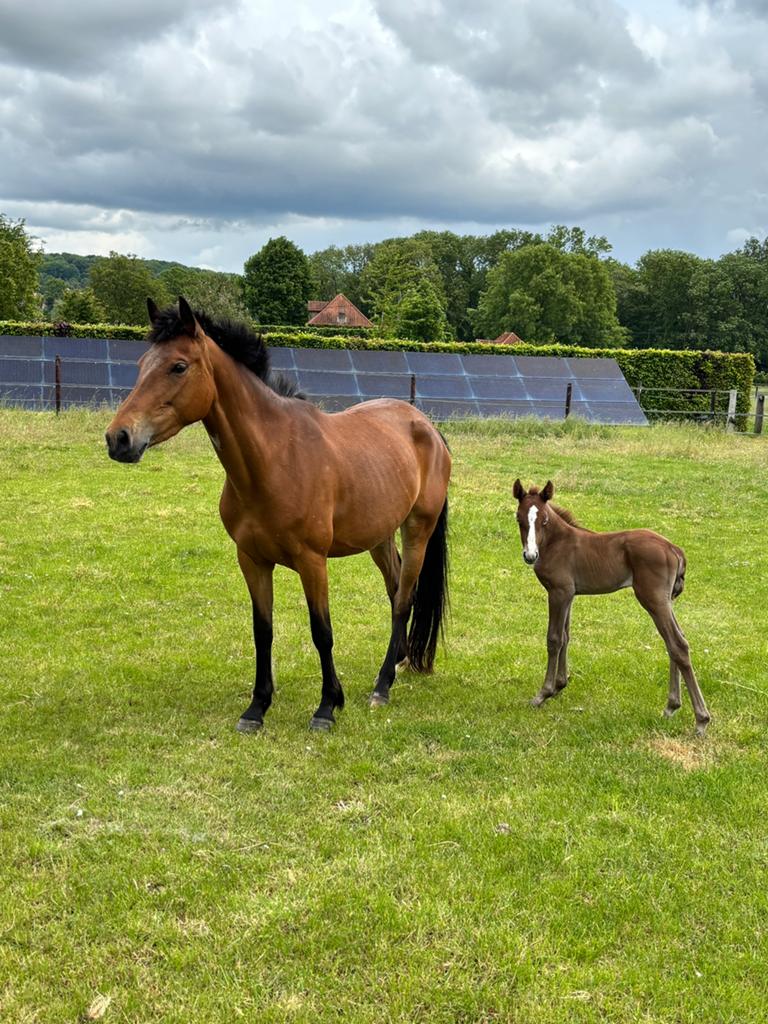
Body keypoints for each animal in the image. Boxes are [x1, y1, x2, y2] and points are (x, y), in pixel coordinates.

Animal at [105, 298, 451, 732]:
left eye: (178, 366)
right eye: (141, 364)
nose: (118, 438)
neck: (274, 459)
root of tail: (426, 427)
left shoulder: (312, 561)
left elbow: (322, 631)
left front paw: (327, 707)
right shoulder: (252, 560)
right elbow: (262, 631)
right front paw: (257, 708)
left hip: (417, 529)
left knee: (404, 598)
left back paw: (382, 686)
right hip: (380, 536)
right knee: (394, 590)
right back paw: (398, 660)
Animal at [512, 479, 711, 735]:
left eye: (544, 520)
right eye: (519, 519)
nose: (530, 555)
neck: (557, 542)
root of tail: (673, 548)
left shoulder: (558, 592)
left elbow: (554, 639)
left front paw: (543, 694)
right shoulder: (569, 595)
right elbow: (566, 636)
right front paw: (560, 685)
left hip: (653, 599)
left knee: (678, 644)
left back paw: (701, 719)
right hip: (667, 601)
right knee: (674, 642)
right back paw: (671, 706)